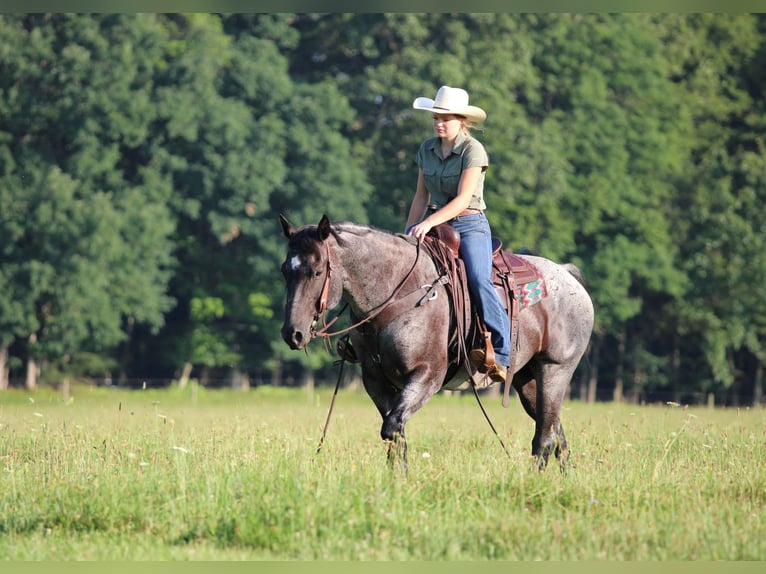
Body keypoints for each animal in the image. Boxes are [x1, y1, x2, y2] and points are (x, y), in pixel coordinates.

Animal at [279, 214, 594, 469]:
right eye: (285, 270)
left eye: (317, 271)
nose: (292, 333)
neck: (399, 292)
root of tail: (567, 275)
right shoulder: (375, 381)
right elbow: (394, 434)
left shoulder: (427, 375)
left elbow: (392, 427)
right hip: (526, 377)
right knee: (554, 431)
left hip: (555, 369)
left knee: (545, 437)